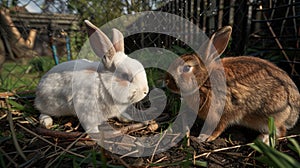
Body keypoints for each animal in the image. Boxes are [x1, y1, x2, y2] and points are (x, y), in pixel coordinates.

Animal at [166, 25, 300, 142]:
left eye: (186, 68)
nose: (167, 82)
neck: (205, 81)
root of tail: (294, 113)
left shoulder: (224, 110)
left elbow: (219, 127)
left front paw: (205, 137)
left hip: (268, 116)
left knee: (281, 131)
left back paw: (262, 140)